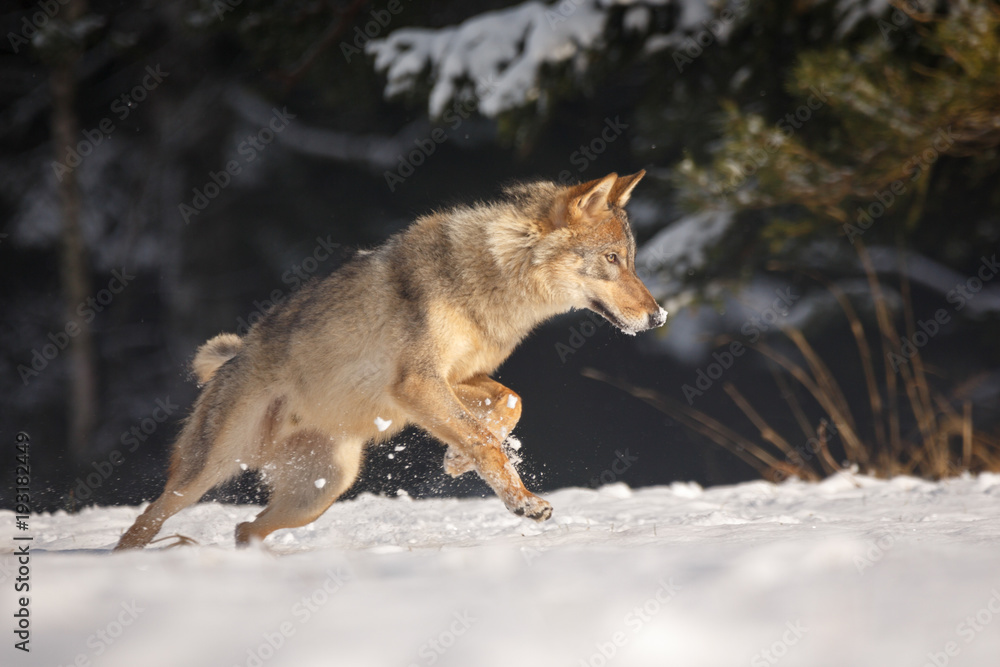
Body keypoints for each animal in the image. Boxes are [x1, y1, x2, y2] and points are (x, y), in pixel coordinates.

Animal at [114, 170, 667, 550]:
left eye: (631, 261)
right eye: (613, 260)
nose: (659, 316)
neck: (490, 282)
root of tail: (234, 357)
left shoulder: (450, 378)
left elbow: (509, 403)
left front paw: (457, 460)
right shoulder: (417, 383)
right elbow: (485, 437)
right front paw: (520, 499)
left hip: (320, 493)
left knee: (244, 527)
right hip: (208, 472)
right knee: (144, 523)